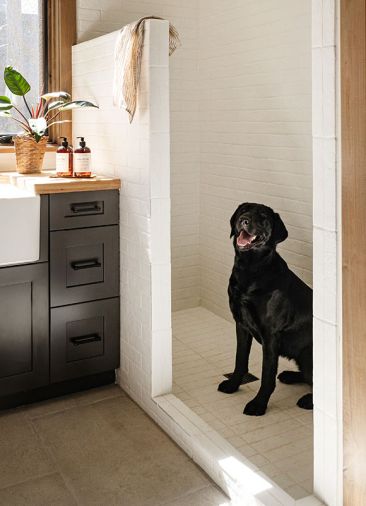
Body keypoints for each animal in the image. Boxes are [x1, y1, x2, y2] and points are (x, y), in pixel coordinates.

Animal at [219, 202, 314, 416]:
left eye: (263, 217)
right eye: (243, 210)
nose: (243, 220)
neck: (250, 270)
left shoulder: (271, 336)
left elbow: (267, 376)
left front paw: (258, 405)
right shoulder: (241, 326)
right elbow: (240, 361)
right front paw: (233, 385)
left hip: (308, 354)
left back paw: (308, 400)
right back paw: (289, 376)